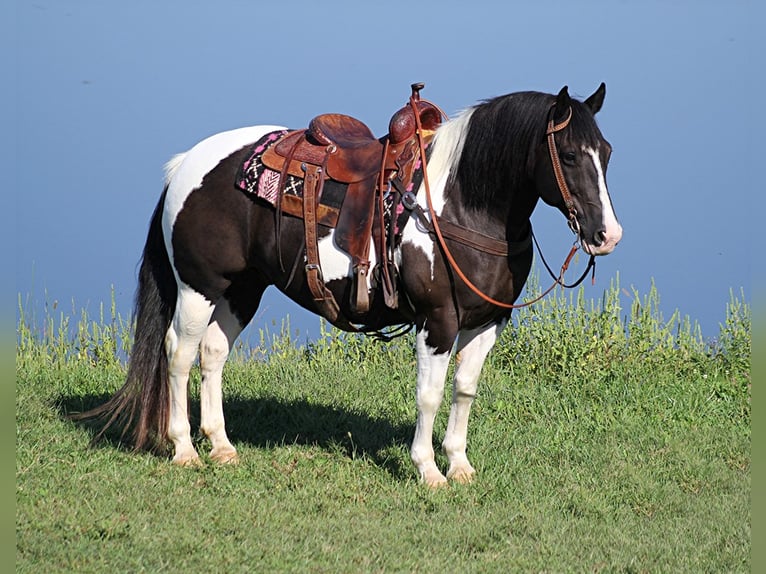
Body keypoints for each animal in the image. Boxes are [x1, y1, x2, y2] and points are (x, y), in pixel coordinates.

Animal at [82, 84, 624, 490]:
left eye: (607, 153)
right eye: (569, 155)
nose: (607, 235)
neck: (458, 203)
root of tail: (185, 165)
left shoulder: (488, 321)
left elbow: (465, 390)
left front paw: (460, 465)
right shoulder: (438, 321)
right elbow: (429, 394)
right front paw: (428, 470)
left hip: (242, 290)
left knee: (213, 353)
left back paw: (222, 446)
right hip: (199, 287)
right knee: (179, 352)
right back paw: (184, 450)